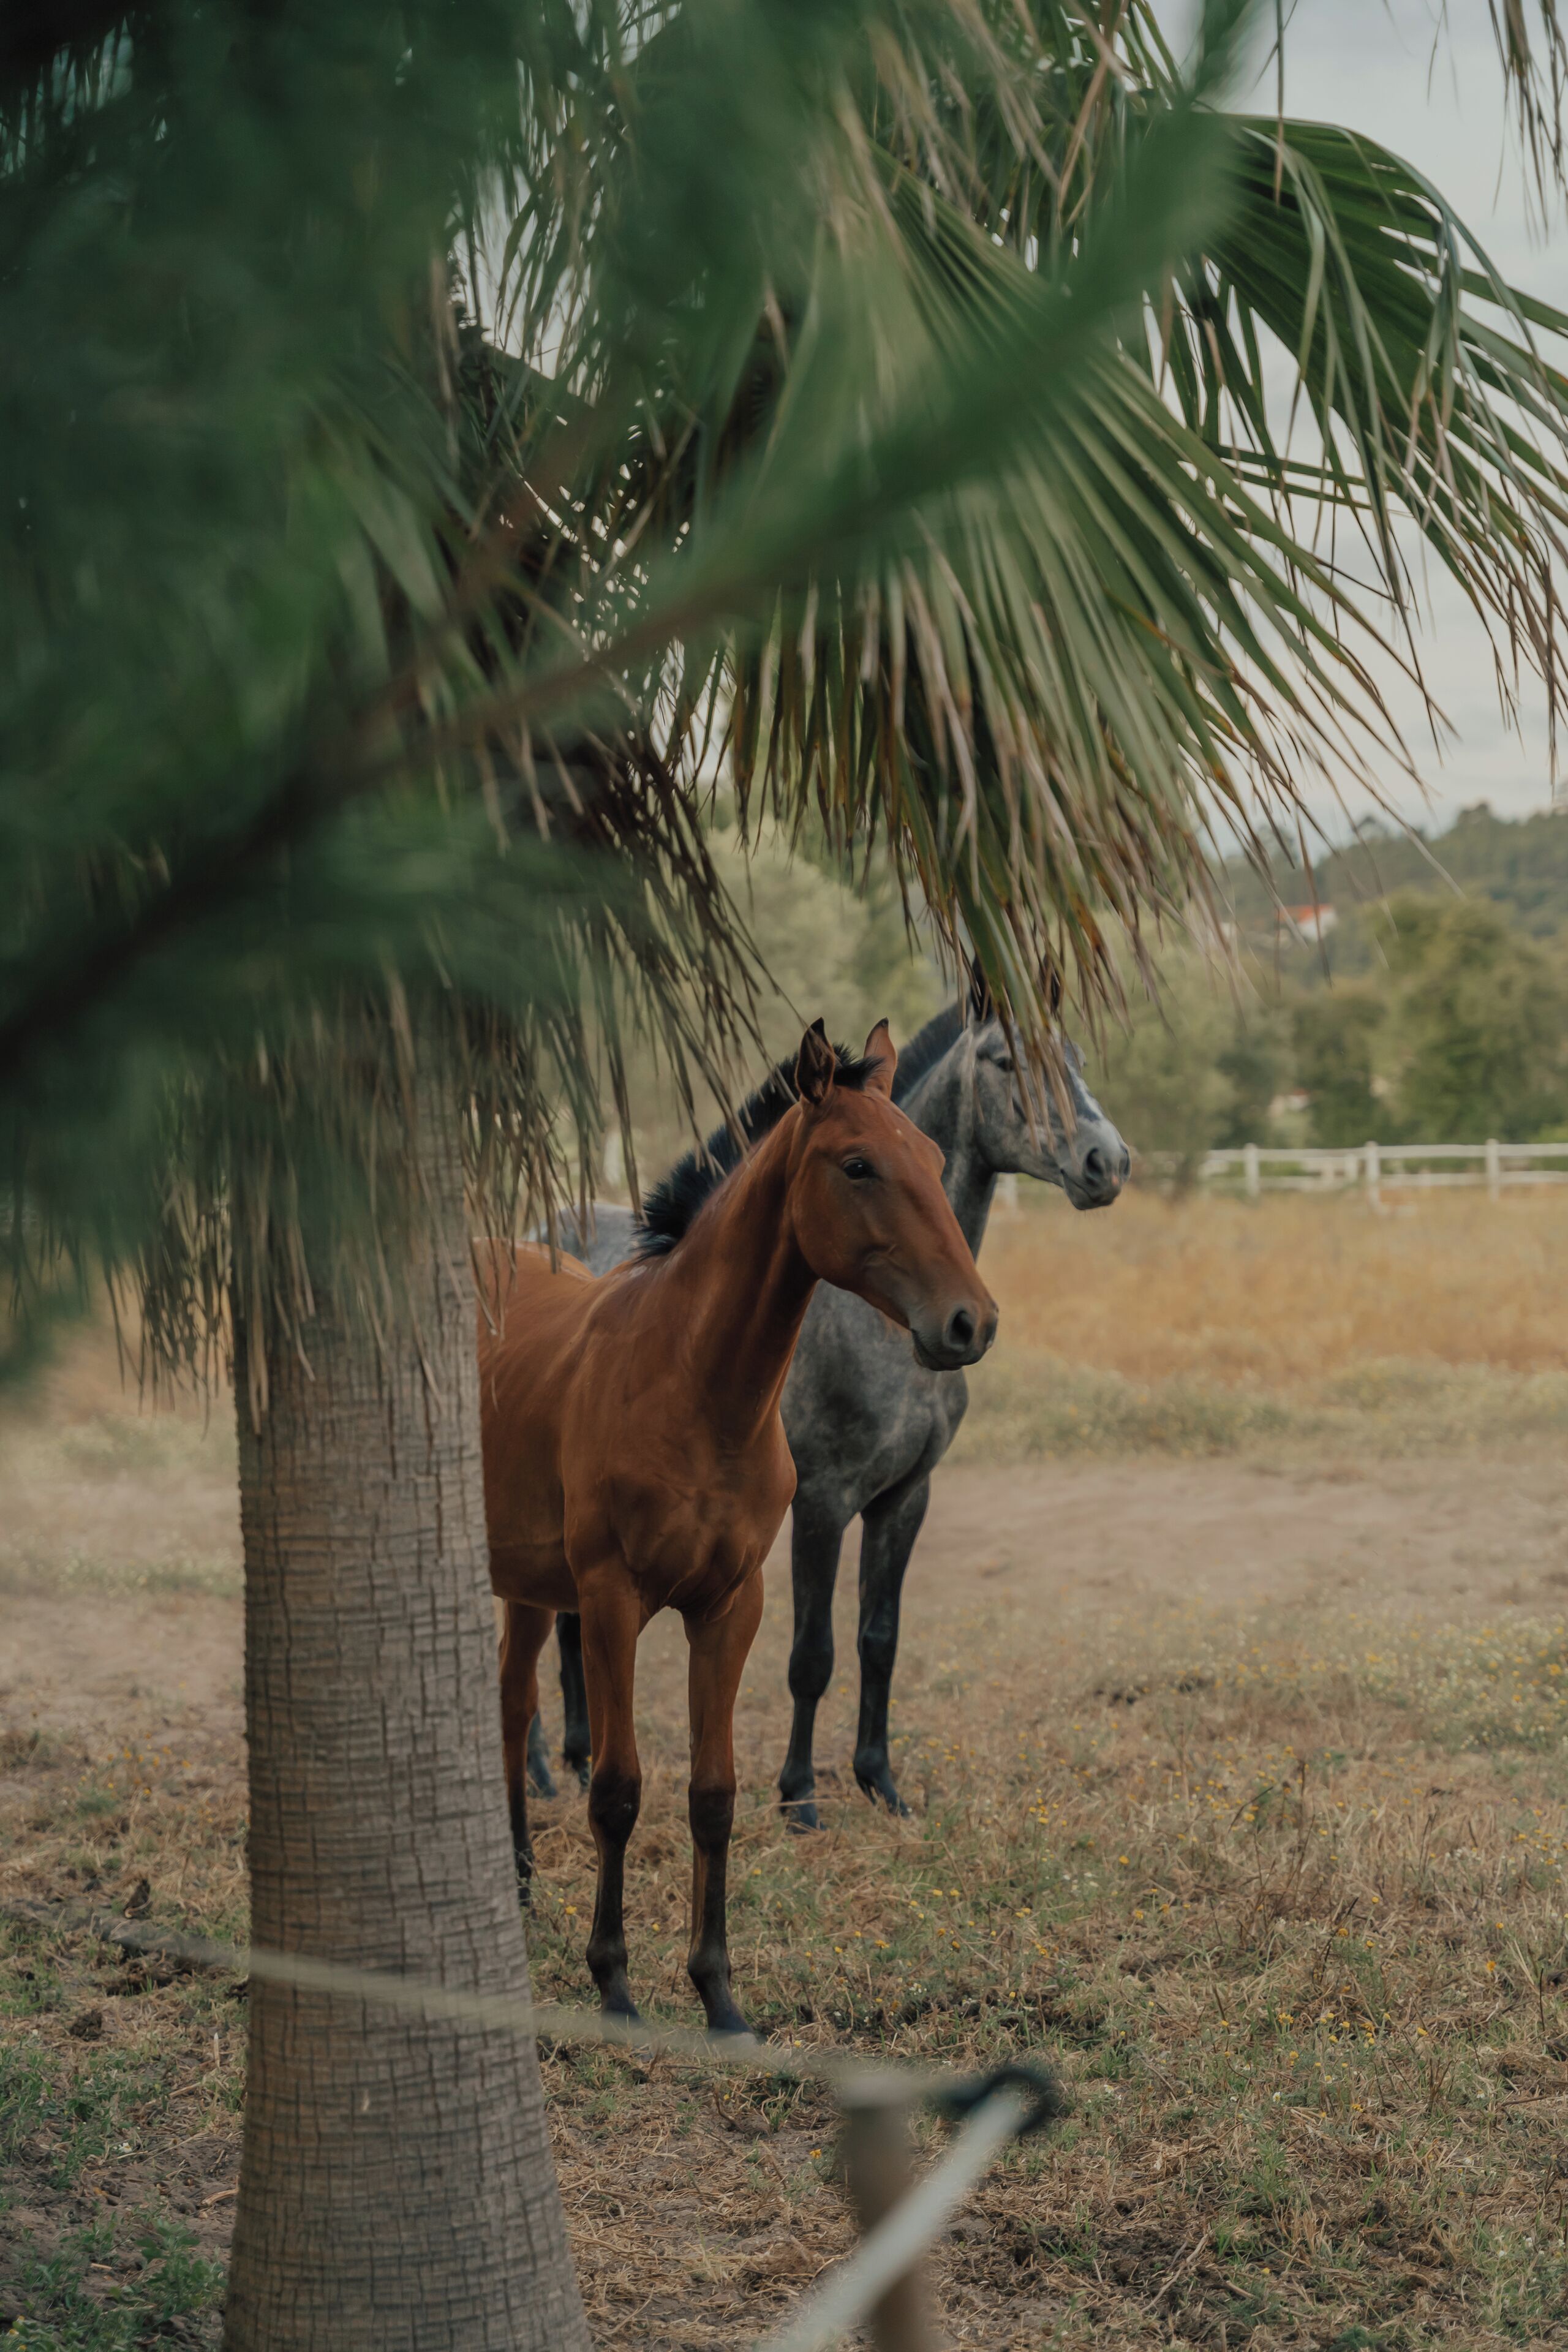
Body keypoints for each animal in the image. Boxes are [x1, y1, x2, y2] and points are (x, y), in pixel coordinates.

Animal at [480, 1019, 996, 2034]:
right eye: (857, 1164)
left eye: (929, 1155)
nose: (971, 1322)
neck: (689, 1383)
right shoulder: (612, 1601)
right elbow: (618, 1789)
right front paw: (614, 1984)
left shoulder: (732, 1604)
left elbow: (713, 1795)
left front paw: (719, 1997)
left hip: (528, 1584)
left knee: (515, 1701)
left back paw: (517, 1880)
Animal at [540, 985, 1128, 1826]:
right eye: (1003, 1059)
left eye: (1074, 1055)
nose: (1105, 1163)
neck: (880, 1324)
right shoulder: (823, 1501)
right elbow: (811, 1654)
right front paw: (799, 1797)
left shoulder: (904, 1498)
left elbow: (877, 1638)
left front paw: (879, 1782)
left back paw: (578, 1760)